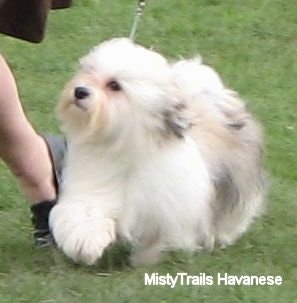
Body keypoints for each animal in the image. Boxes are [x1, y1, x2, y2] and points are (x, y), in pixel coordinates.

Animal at [49, 37, 266, 266]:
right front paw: (86, 245)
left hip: (236, 184)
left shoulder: (165, 210)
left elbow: (157, 237)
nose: (80, 91)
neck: (124, 148)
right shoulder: (94, 189)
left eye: (114, 85)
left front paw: (143, 261)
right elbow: (85, 214)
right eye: (88, 72)